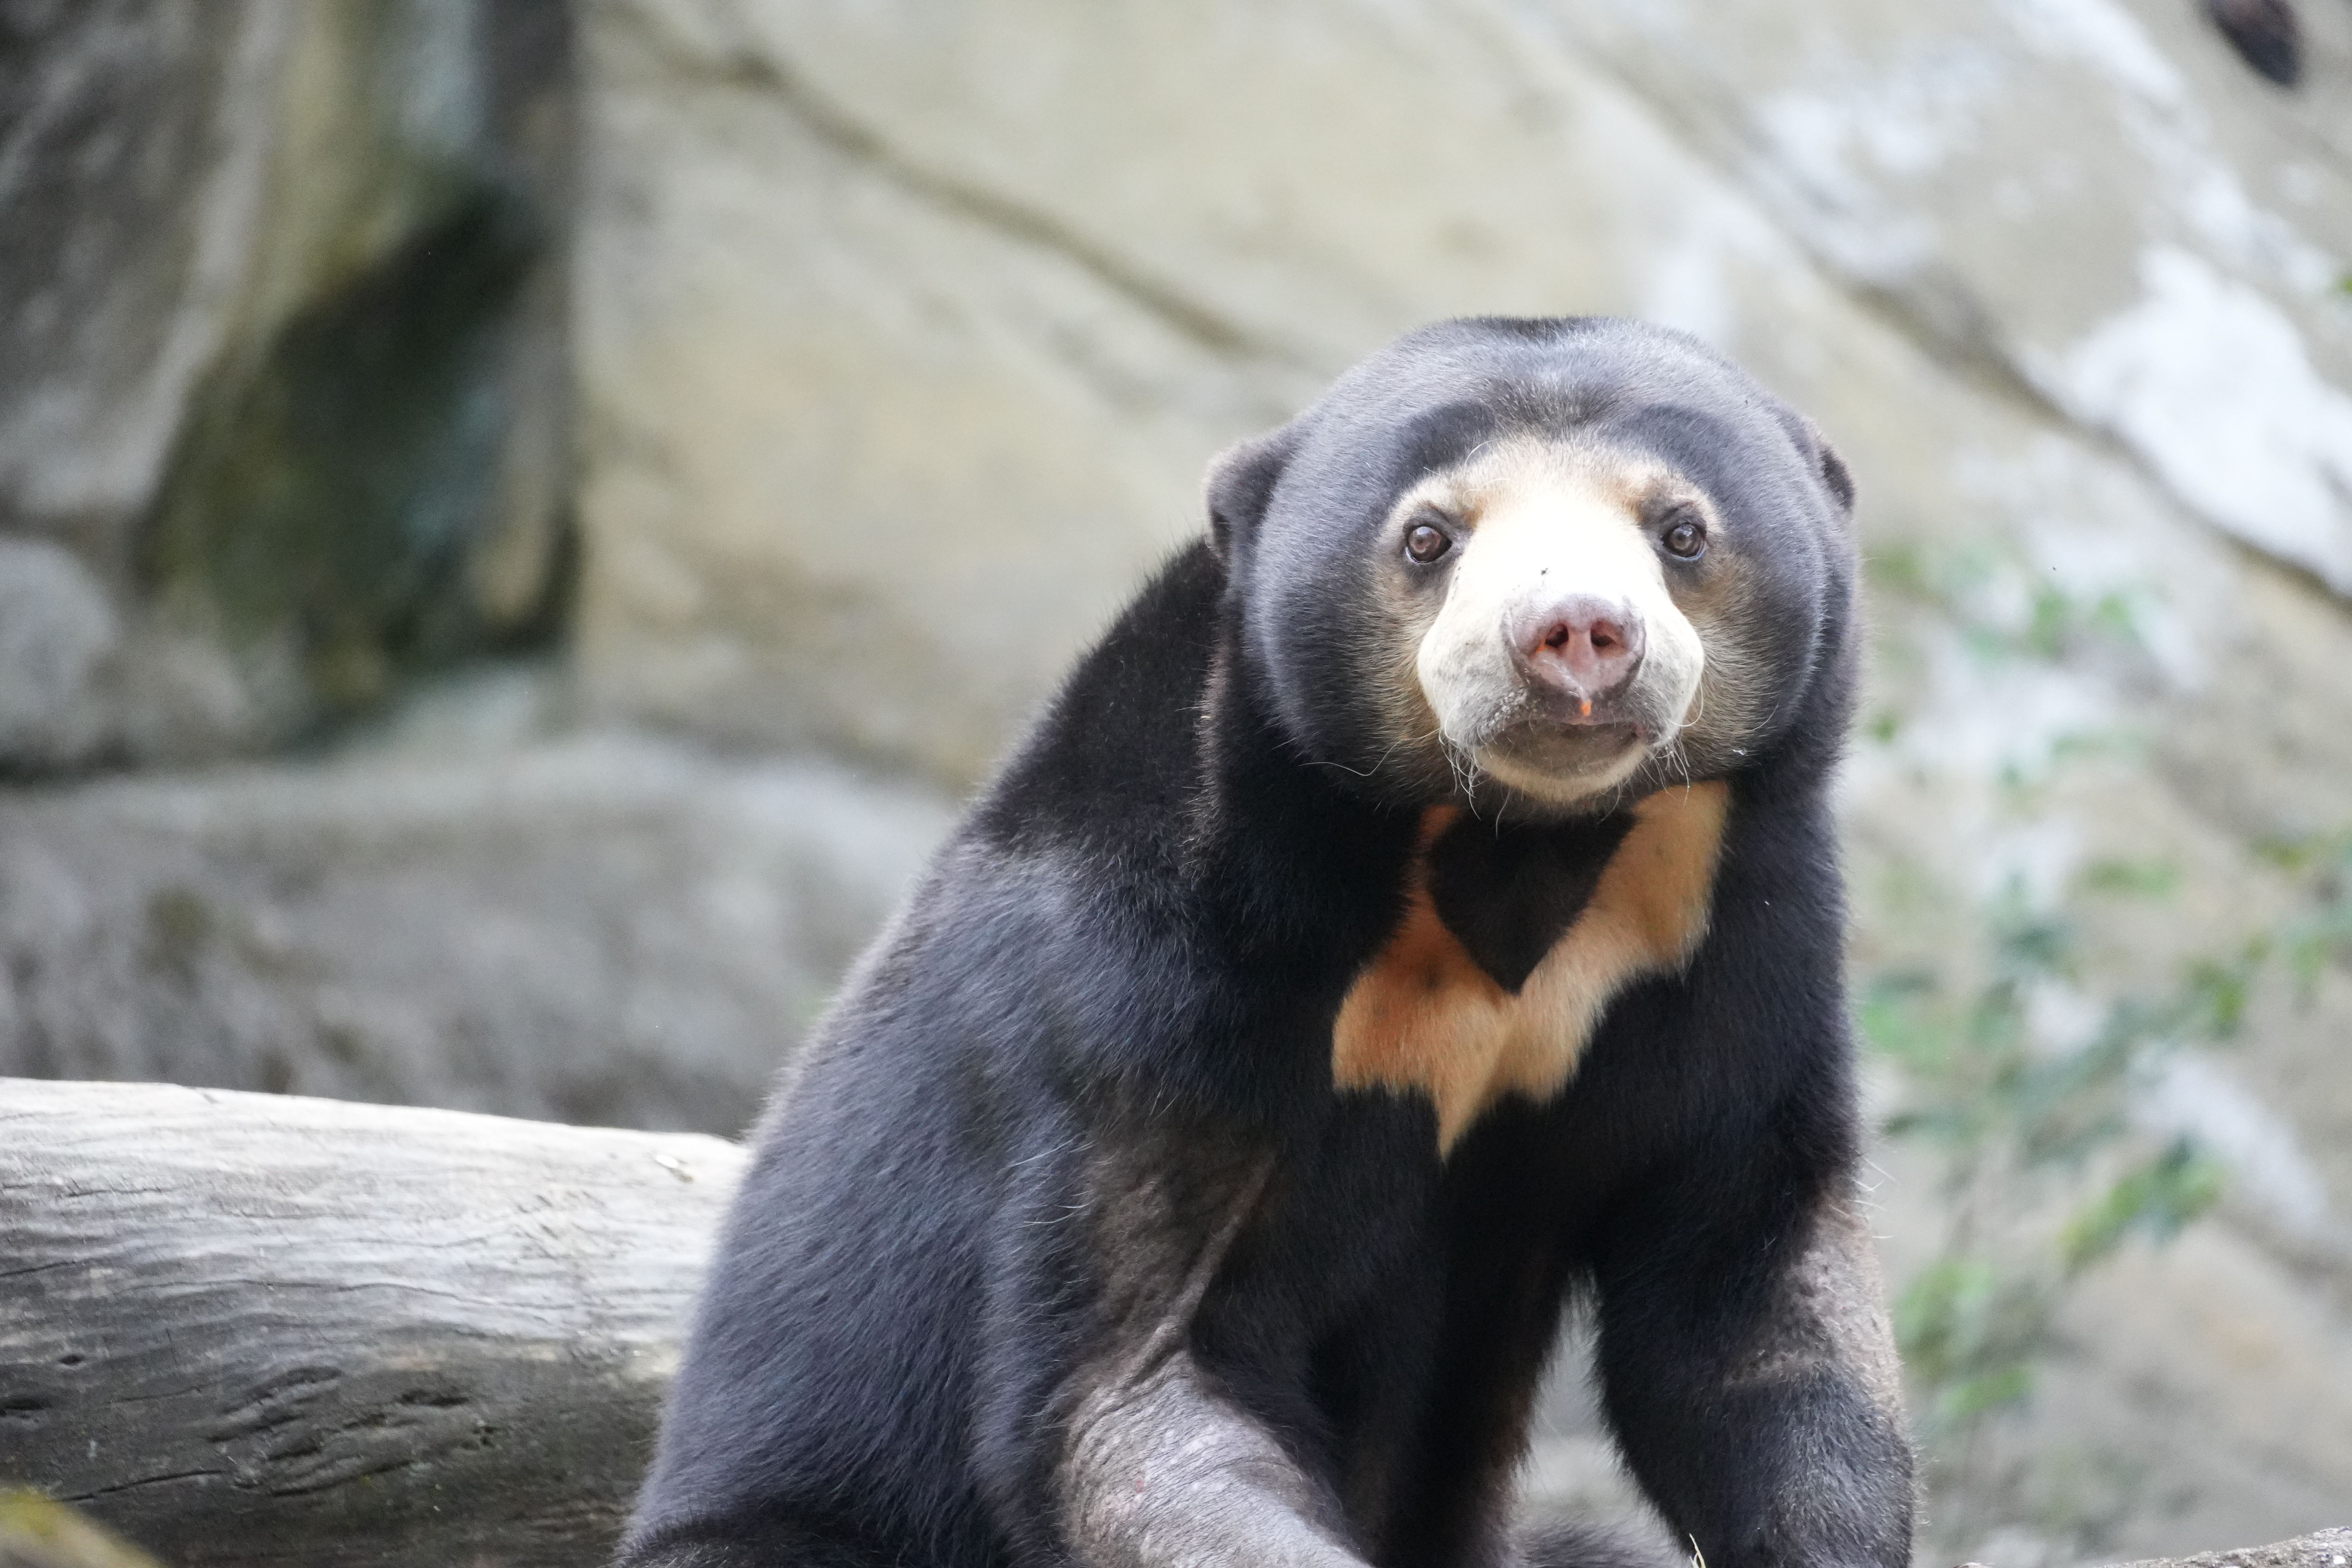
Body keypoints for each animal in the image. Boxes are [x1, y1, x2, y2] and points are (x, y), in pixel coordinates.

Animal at [618, 317, 1915, 1568]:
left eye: (1680, 529)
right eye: (1429, 535)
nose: (1574, 632)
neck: (1517, 845)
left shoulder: (1729, 922)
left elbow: (1744, 1292)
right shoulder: (1149, 979)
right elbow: (1134, 1382)